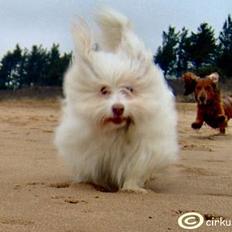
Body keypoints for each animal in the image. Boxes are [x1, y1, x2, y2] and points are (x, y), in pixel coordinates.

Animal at [55, 7, 179, 192]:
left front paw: (132, 187)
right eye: (103, 90)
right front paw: (92, 183)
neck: (115, 131)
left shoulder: (142, 150)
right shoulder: (89, 150)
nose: (118, 108)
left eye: (129, 89)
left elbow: (135, 169)